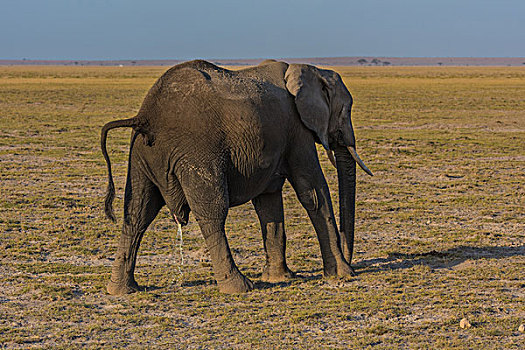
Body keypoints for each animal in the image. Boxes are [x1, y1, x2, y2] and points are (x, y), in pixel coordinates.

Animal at [100, 59, 370, 296]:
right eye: (346, 110)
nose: (351, 259)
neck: (308, 69)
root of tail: (146, 116)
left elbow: (268, 202)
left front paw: (280, 277)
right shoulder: (297, 131)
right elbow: (313, 191)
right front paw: (342, 274)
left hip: (140, 156)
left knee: (137, 215)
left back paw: (121, 290)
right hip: (196, 152)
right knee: (212, 214)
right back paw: (240, 287)